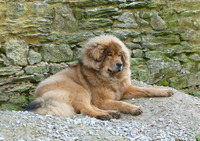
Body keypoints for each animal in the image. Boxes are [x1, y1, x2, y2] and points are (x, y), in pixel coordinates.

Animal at [25, 35, 173, 120]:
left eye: (119, 55)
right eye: (109, 55)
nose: (120, 64)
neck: (111, 77)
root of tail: (41, 96)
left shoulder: (124, 89)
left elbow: (147, 89)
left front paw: (165, 91)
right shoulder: (102, 100)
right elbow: (120, 103)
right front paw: (133, 108)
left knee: (88, 107)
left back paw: (112, 113)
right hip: (79, 89)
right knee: (85, 109)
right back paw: (104, 115)